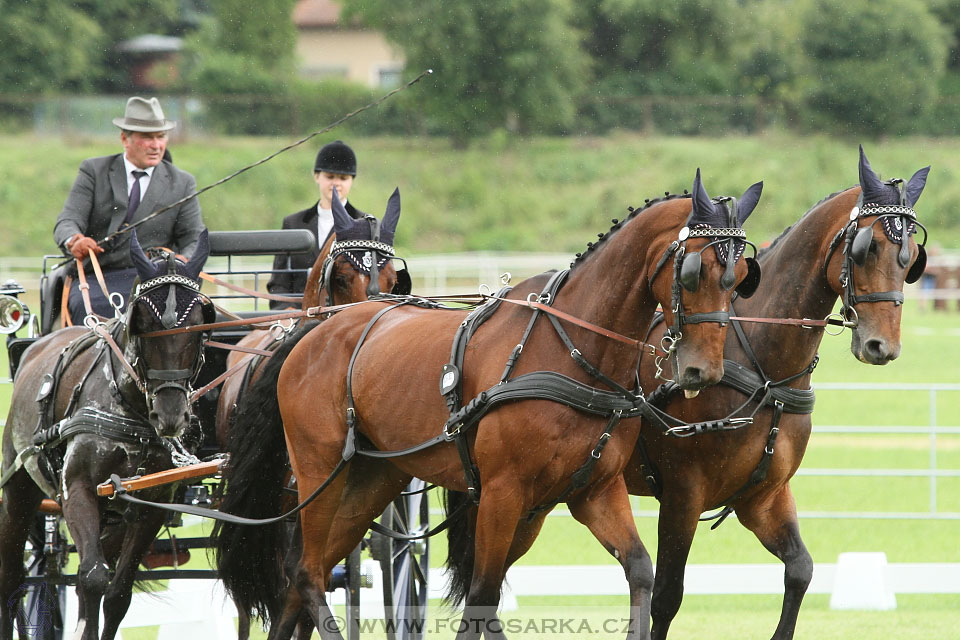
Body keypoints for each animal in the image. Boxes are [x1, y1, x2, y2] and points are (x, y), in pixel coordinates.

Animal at [0, 230, 214, 640]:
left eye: (200, 323)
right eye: (141, 321)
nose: (170, 414)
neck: (129, 408)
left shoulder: (151, 503)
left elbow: (117, 592)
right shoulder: (78, 489)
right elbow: (92, 578)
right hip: (18, 485)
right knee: (12, 578)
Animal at [216, 168, 764, 636]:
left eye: (740, 278)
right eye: (693, 271)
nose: (703, 371)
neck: (571, 350)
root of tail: (311, 331)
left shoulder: (589, 492)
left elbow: (640, 572)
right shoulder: (503, 493)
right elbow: (481, 594)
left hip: (371, 478)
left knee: (307, 572)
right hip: (318, 469)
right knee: (307, 571)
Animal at [624, 146, 928, 640]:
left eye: (913, 257)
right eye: (866, 249)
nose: (882, 346)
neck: (765, 372)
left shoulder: (763, 497)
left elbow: (800, 570)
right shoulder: (683, 494)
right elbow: (666, 597)